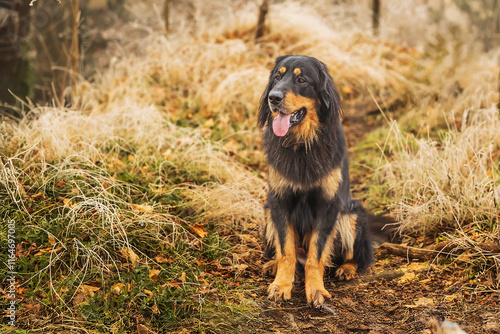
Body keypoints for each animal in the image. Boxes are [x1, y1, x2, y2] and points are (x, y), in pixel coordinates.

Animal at [260, 54, 374, 308]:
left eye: (301, 80)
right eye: (277, 77)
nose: (273, 98)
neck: (302, 143)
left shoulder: (328, 205)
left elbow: (317, 254)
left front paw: (316, 290)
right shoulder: (279, 201)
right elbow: (286, 251)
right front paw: (281, 285)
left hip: (352, 214)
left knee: (360, 256)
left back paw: (347, 269)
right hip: (268, 212)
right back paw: (272, 264)